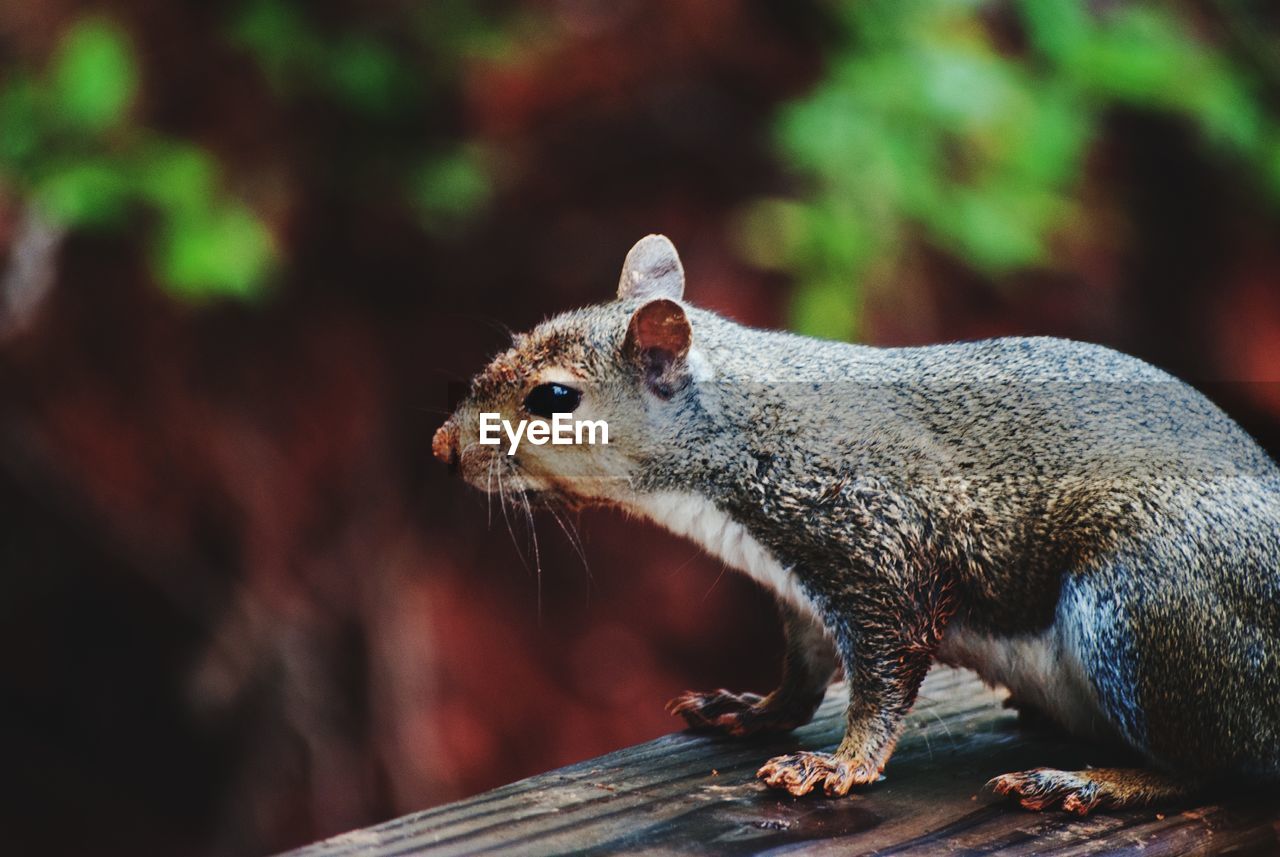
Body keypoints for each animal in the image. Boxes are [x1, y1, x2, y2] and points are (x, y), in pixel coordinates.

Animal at [432, 237, 1280, 813]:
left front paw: (838, 764)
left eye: (554, 398)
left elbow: (884, 669)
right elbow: (806, 668)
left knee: (1205, 765)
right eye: (513, 345)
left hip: (1147, 605)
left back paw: (1090, 781)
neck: (738, 435)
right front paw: (754, 710)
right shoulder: (800, 586)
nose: (443, 447)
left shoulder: (877, 539)